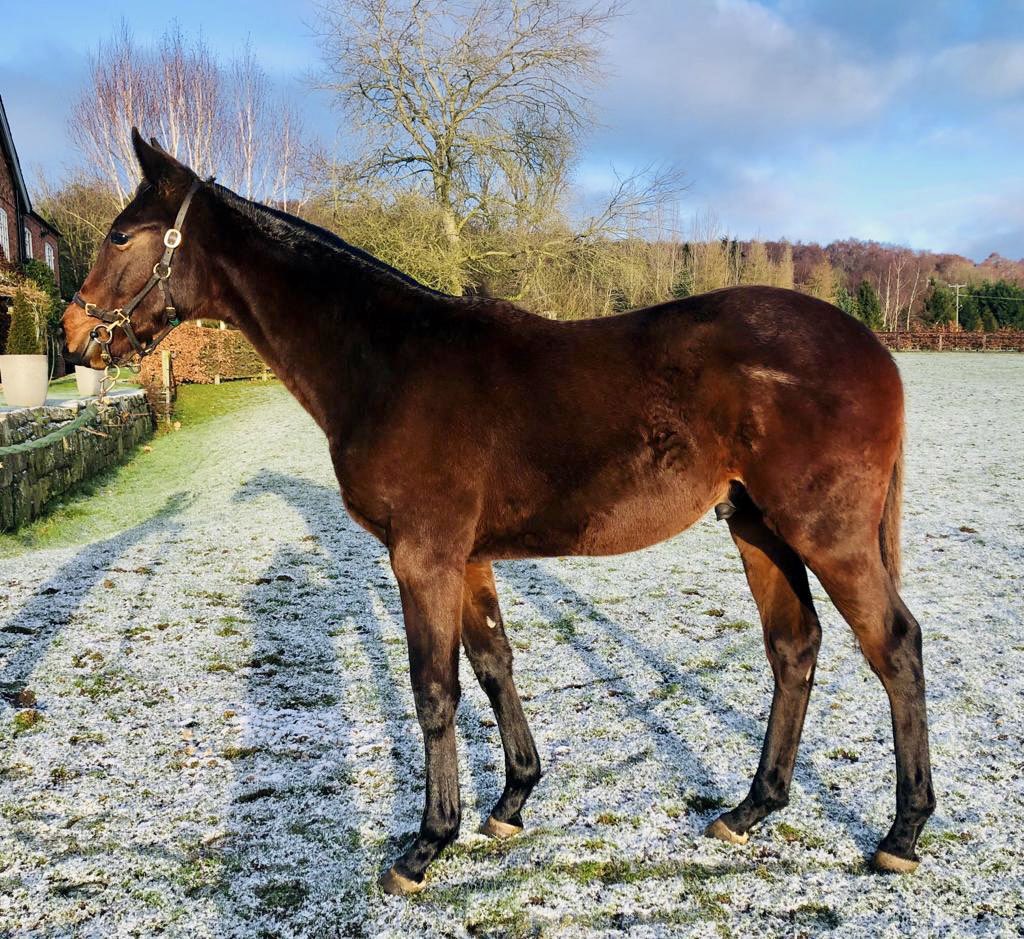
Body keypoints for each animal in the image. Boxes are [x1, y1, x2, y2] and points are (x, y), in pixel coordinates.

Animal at [59, 132, 933, 892]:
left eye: (121, 234)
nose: (73, 334)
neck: (388, 362)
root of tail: (876, 349)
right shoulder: (467, 555)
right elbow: (492, 664)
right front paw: (510, 802)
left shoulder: (422, 555)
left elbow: (433, 689)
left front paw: (425, 844)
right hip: (757, 527)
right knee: (795, 647)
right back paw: (750, 809)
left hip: (826, 533)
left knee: (893, 644)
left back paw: (902, 832)